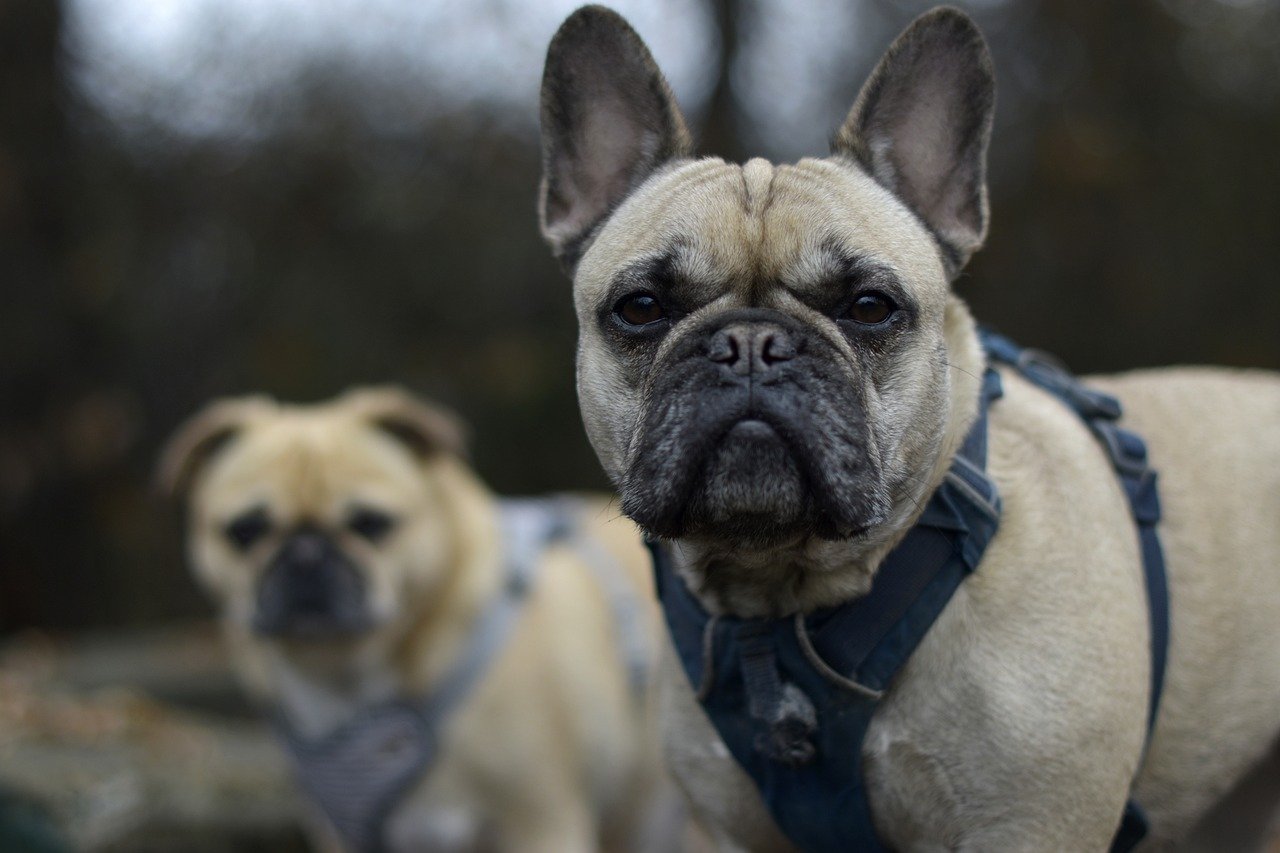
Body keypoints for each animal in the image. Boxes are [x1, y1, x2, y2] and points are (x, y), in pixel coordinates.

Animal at [162, 386, 670, 850]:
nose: (306, 554)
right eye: (245, 531)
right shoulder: (341, 836)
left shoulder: (540, 827)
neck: (344, 682)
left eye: (371, 524)